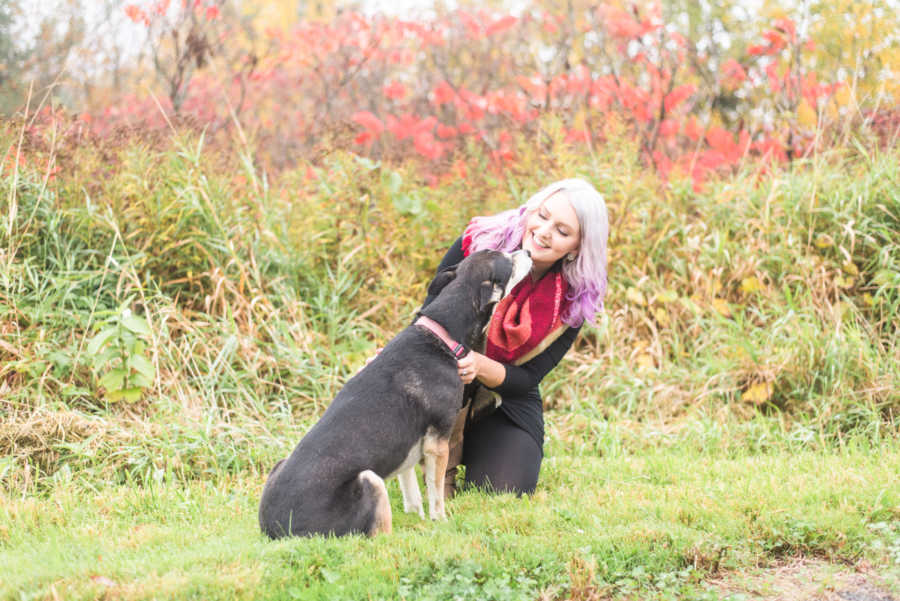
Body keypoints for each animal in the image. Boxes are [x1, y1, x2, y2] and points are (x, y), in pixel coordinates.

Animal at [256, 246, 532, 536]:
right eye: (507, 260)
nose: (527, 250)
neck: (441, 335)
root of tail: (277, 530)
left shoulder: (407, 449)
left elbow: (412, 495)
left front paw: (416, 518)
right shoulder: (437, 442)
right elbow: (435, 495)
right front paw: (440, 522)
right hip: (370, 480)